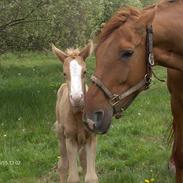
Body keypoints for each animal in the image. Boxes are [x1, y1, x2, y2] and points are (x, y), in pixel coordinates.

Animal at [52, 43, 98, 183]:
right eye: (64, 73)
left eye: (85, 72)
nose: (77, 98)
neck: (78, 114)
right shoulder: (70, 139)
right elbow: (73, 178)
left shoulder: (92, 137)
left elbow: (91, 177)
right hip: (61, 135)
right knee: (62, 165)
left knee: (83, 161)